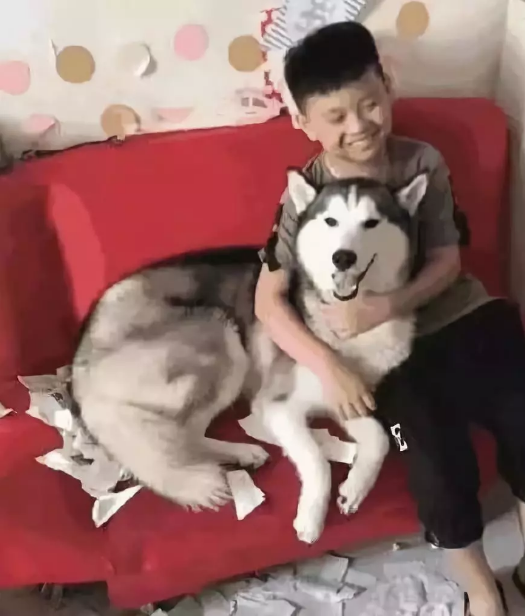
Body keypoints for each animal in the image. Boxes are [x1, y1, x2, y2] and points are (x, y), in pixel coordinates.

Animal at [70, 169, 428, 544]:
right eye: (331, 221)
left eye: (371, 222)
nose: (343, 257)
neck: (349, 322)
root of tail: (79, 363)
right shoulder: (278, 406)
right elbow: (318, 461)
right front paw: (312, 517)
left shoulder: (347, 400)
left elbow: (379, 439)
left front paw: (354, 490)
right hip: (222, 337)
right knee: (186, 434)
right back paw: (242, 451)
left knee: (188, 436)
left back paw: (242, 453)